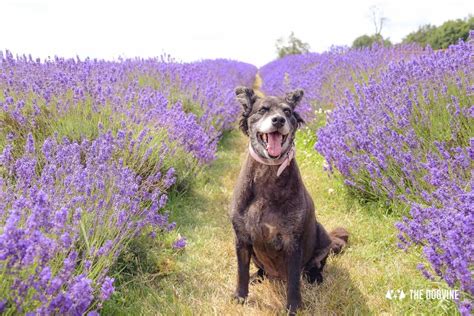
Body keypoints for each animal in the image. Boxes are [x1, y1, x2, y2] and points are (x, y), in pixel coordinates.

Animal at [230, 86, 348, 314]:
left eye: (287, 111)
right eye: (263, 109)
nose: (278, 120)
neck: (268, 172)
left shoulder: (292, 243)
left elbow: (293, 282)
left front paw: (293, 307)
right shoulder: (242, 238)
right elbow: (241, 272)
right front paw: (240, 297)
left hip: (322, 235)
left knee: (316, 265)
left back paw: (315, 277)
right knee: (260, 270)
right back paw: (257, 277)